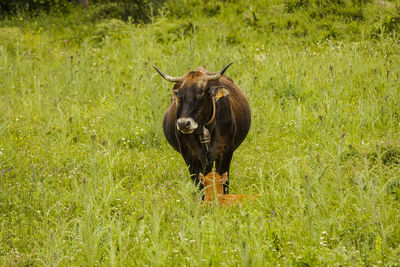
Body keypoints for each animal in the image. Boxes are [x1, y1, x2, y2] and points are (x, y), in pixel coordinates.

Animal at [153, 63, 250, 193]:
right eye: (180, 96)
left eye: (200, 96)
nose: (183, 123)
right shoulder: (190, 155)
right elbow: (200, 184)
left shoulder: (226, 151)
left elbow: (223, 183)